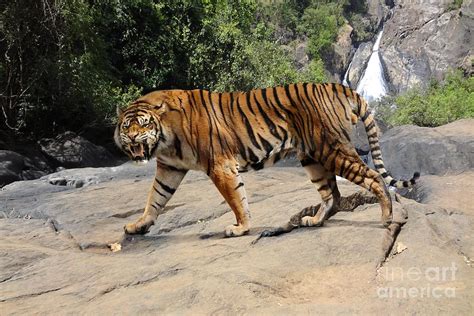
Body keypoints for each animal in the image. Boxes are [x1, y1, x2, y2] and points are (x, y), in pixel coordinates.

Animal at [115, 82, 418, 236]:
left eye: (143, 124)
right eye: (126, 126)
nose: (133, 138)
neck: (165, 138)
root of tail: (340, 86)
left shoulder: (220, 166)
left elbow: (237, 200)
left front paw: (240, 228)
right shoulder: (169, 167)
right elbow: (155, 198)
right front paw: (138, 225)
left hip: (332, 149)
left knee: (374, 177)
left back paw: (386, 218)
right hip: (312, 157)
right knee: (332, 194)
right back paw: (314, 221)